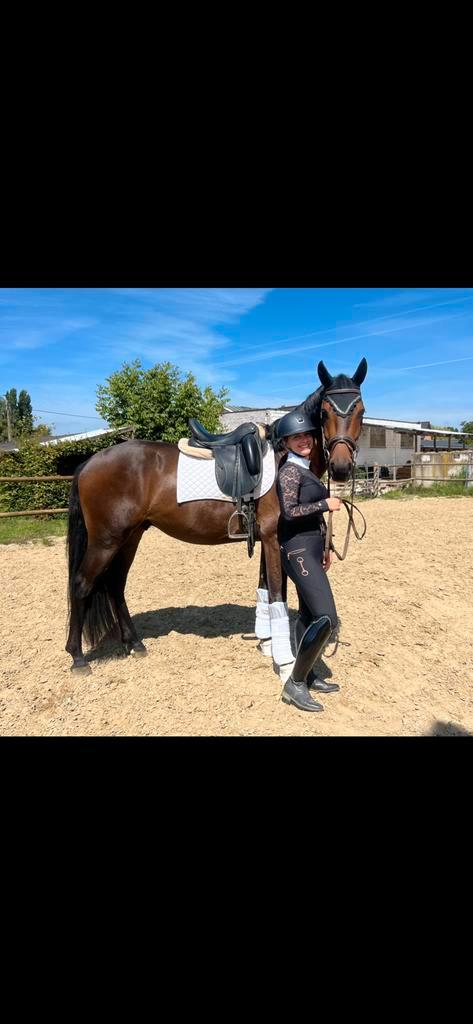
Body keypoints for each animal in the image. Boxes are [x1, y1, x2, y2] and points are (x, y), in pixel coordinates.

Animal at [65, 358, 367, 674]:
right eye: (325, 412)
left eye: (361, 411)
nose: (341, 467)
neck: (283, 458)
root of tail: (88, 462)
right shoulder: (273, 539)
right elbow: (277, 594)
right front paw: (283, 661)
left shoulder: (265, 539)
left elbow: (264, 589)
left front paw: (266, 643)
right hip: (106, 540)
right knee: (82, 584)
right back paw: (78, 657)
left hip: (130, 537)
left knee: (115, 584)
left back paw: (134, 643)